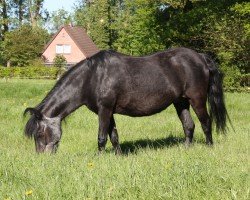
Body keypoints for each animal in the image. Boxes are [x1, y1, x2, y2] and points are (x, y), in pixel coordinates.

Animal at [23, 47, 229, 154]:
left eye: (39, 134)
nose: (42, 158)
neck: (92, 77)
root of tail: (199, 57)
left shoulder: (105, 110)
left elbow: (102, 137)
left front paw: (99, 159)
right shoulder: (108, 111)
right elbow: (113, 135)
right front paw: (118, 156)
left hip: (197, 99)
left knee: (206, 122)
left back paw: (209, 147)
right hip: (180, 102)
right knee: (189, 125)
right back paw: (186, 149)